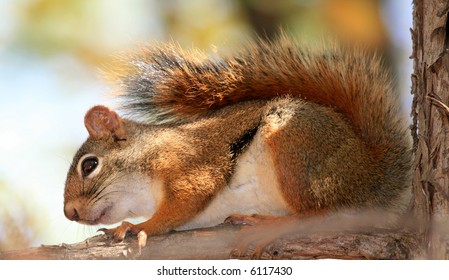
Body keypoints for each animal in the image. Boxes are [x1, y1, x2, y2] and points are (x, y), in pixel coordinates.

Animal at [62, 35, 410, 244]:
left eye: (90, 165)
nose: (70, 213)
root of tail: (371, 176)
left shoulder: (189, 163)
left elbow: (186, 199)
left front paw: (136, 227)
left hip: (297, 148)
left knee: (318, 212)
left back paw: (270, 225)